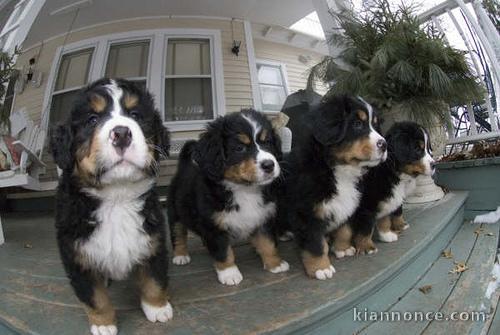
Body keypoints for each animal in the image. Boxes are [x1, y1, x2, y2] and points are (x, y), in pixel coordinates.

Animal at [50, 79, 172, 335]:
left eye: (135, 115)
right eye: (92, 120)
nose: (122, 133)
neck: (116, 198)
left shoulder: (152, 240)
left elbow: (154, 280)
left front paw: (157, 308)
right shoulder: (77, 256)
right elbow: (95, 298)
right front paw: (103, 323)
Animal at [169, 109, 290, 286]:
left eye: (267, 142)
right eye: (239, 148)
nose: (269, 165)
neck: (244, 189)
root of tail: (183, 167)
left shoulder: (263, 217)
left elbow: (268, 243)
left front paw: (275, 264)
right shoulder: (214, 225)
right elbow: (223, 251)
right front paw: (229, 273)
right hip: (176, 213)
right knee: (178, 233)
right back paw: (180, 255)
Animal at [278, 95, 386, 280]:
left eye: (375, 125)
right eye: (357, 124)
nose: (384, 144)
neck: (338, 170)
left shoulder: (347, 204)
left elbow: (345, 229)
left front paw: (343, 248)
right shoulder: (307, 213)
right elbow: (316, 243)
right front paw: (320, 268)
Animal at [350, 121, 436, 255]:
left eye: (428, 148)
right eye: (417, 149)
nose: (434, 164)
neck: (390, 169)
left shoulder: (391, 198)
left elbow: (393, 213)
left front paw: (389, 233)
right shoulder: (366, 205)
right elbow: (366, 227)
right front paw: (366, 247)